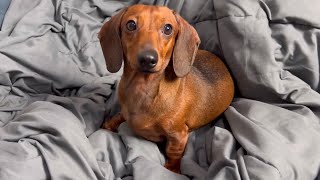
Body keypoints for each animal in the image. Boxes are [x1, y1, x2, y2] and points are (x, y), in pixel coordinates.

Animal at [99, 4, 234, 173]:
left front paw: (172, 169)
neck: (142, 88)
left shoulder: (179, 135)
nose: (148, 59)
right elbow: (119, 116)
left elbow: (174, 152)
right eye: (131, 25)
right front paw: (108, 124)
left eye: (168, 28)